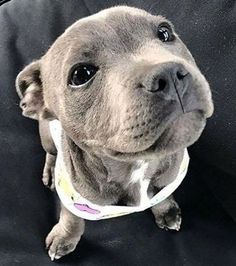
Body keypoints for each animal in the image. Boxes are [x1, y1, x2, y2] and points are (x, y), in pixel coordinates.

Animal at [14, 5, 214, 260]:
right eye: (81, 74)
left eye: (165, 33)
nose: (169, 74)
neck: (139, 164)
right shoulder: (72, 199)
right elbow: (72, 218)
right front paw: (64, 237)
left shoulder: (169, 180)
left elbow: (163, 194)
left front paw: (166, 211)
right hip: (47, 136)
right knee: (51, 153)